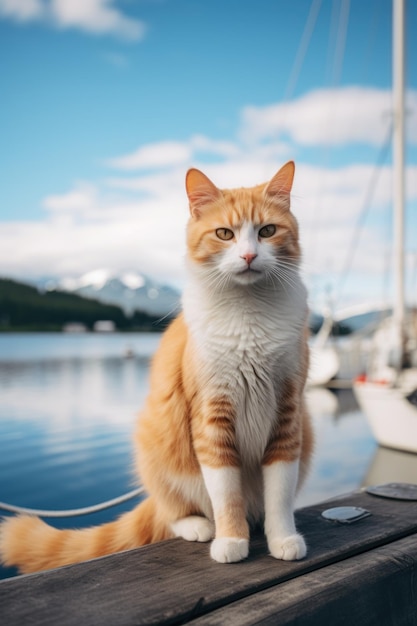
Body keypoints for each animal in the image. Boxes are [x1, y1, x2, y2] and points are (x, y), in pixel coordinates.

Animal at [0, 161, 312, 572]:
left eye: (267, 231)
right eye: (224, 234)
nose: (248, 256)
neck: (250, 313)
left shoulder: (288, 414)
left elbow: (279, 492)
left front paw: (283, 538)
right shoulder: (211, 417)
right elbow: (226, 495)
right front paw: (231, 539)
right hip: (157, 444)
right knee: (173, 511)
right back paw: (199, 526)